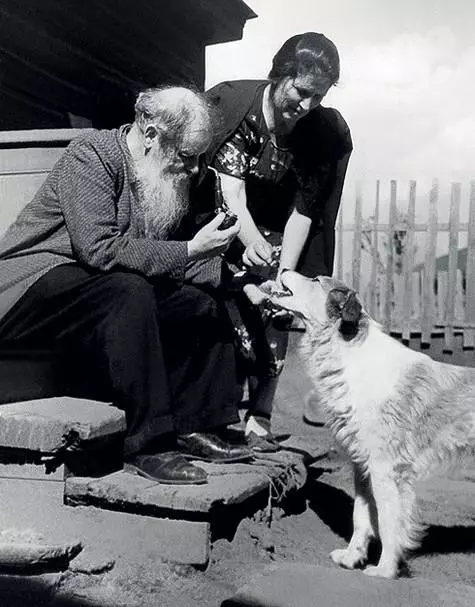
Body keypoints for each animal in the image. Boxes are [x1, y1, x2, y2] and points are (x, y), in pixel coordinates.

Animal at [258, 270, 474, 580]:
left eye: (315, 279)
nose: (284, 268)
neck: (349, 352)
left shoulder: (386, 468)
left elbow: (387, 521)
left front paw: (385, 570)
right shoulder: (362, 467)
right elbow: (361, 516)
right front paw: (352, 557)